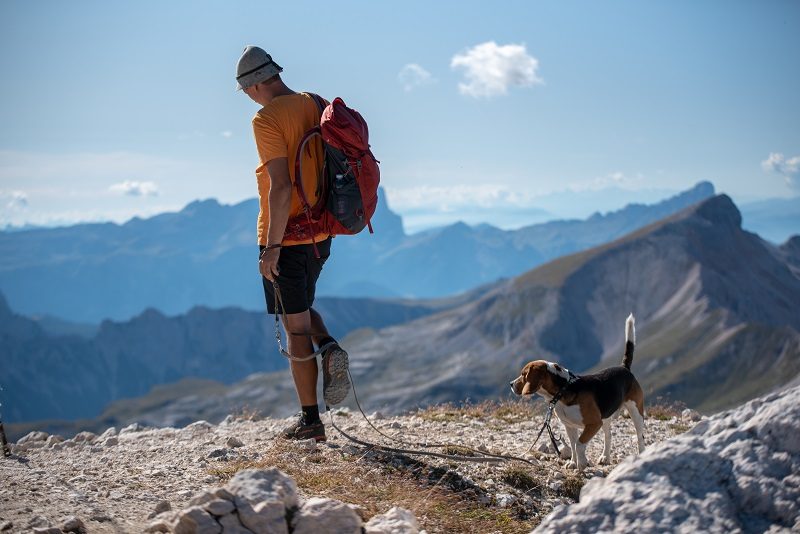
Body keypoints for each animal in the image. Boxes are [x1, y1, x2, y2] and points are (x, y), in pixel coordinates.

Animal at [510, 316, 648, 472]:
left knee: (640, 437)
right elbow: (573, 444)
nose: (511, 384)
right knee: (608, 436)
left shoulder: (594, 423)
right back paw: (605, 457)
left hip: (636, 412)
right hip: (606, 416)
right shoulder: (569, 426)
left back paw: (641, 454)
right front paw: (573, 463)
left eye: (524, 374)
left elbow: (579, 444)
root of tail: (624, 368)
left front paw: (581, 463)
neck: (563, 389)